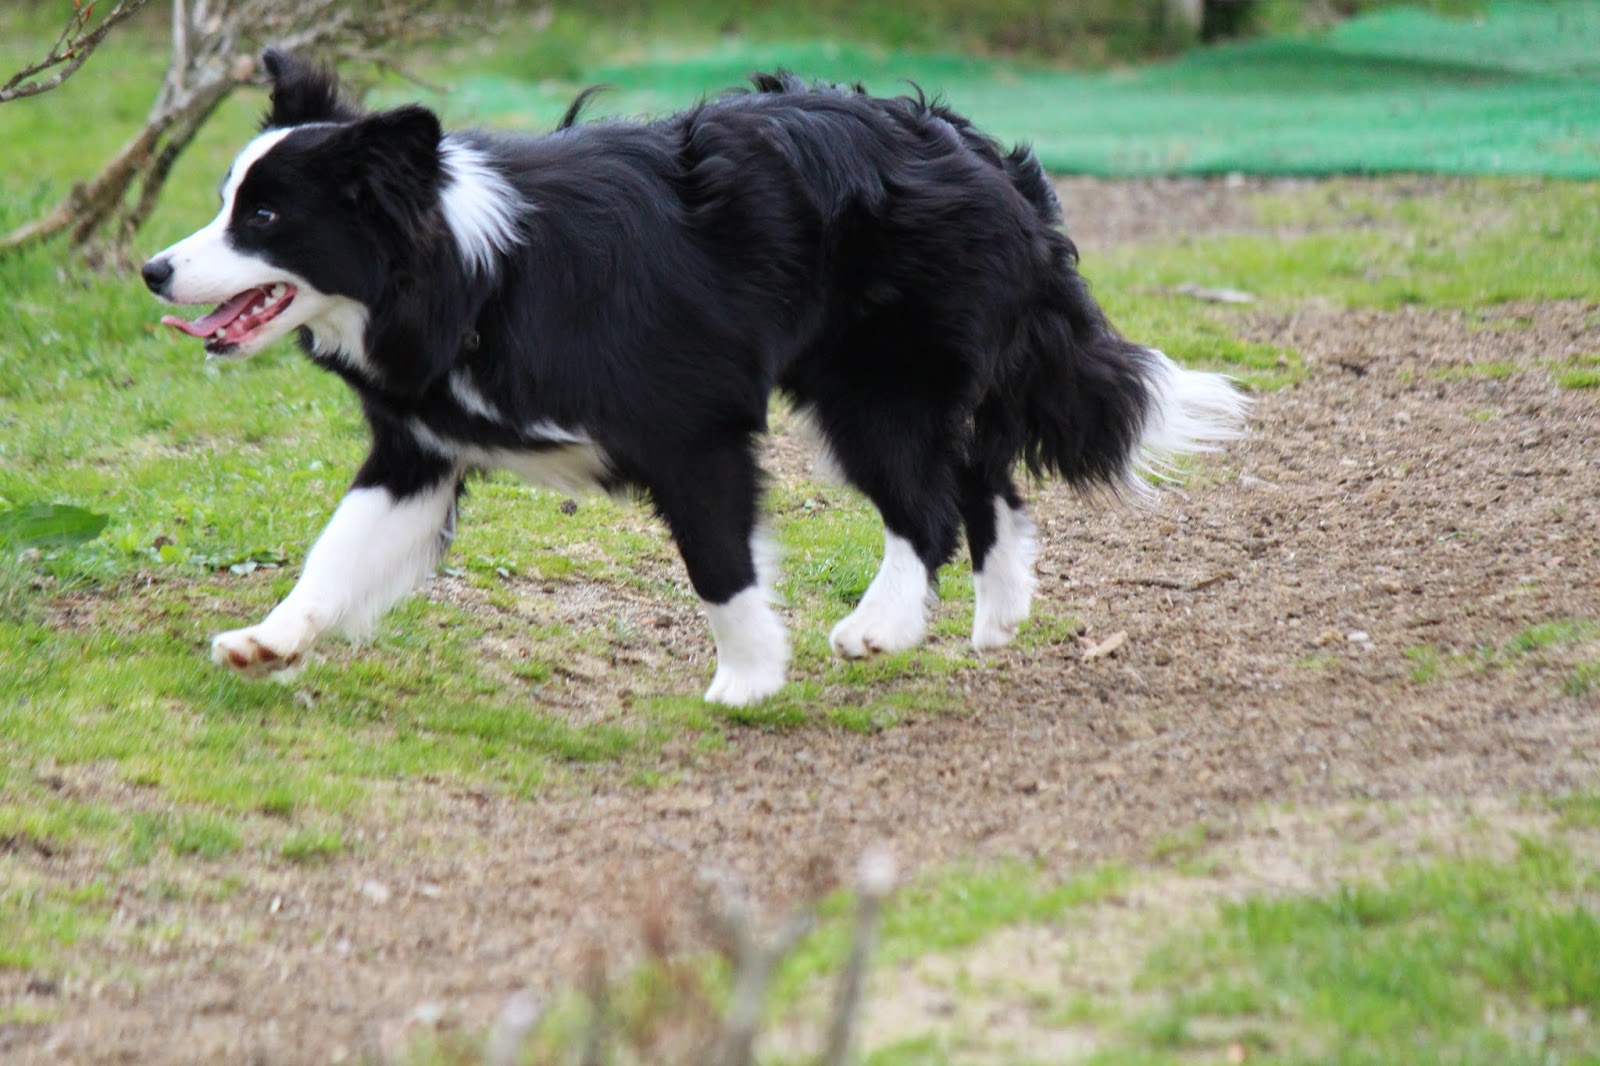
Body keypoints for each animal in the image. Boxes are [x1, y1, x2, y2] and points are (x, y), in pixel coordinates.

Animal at [141, 50, 1247, 706]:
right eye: (225, 199)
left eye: (265, 217)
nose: (152, 269)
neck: (466, 269)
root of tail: (977, 147)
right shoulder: (420, 448)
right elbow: (338, 550)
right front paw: (268, 640)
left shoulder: (690, 430)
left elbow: (720, 564)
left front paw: (749, 679)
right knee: (985, 481)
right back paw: (996, 614)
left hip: (873, 388)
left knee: (930, 505)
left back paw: (881, 627)